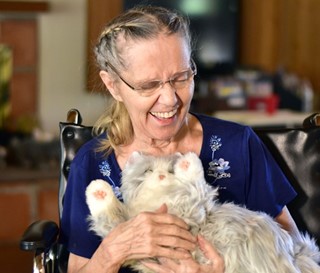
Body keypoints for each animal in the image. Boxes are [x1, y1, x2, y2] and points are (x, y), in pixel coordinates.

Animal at [85, 151, 320, 272]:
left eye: (170, 171)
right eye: (148, 170)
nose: (161, 176)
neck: (165, 203)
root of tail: (296, 253)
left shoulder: (195, 210)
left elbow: (194, 184)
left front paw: (187, 163)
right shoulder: (137, 242)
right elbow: (110, 217)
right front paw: (98, 191)